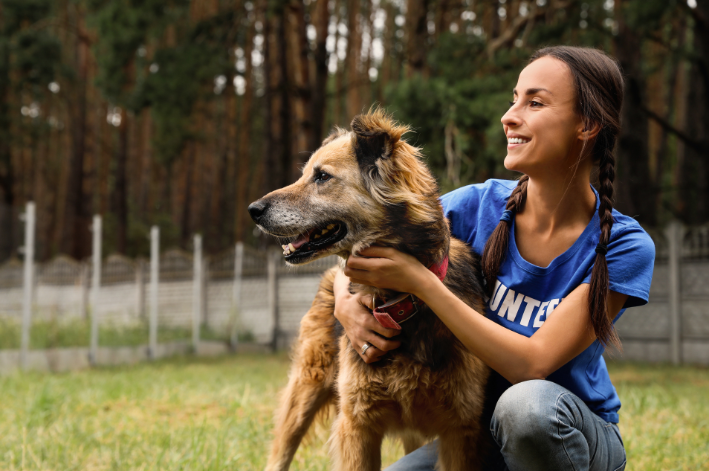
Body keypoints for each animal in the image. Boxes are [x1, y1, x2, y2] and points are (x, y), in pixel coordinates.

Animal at [249, 109, 498, 470]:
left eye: (322, 177)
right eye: (305, 174)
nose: (252, 210)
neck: (397, 303)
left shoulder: (460, 430)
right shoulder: (357, 424)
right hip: (305, 390)